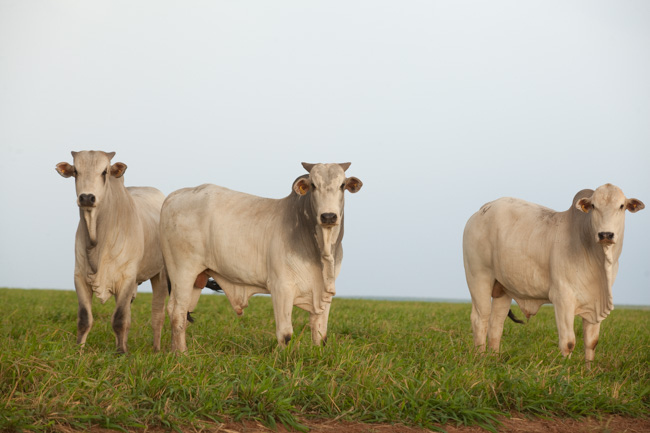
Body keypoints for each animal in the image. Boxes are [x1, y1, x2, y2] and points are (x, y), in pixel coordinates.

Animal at [55, 150, 167, 352]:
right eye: (76, 171)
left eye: (104, 172)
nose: (86, 197)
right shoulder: (79, 277)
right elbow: (84, 319)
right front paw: (79, 351)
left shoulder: (127, 278)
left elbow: (119, 319)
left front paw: (121, 352)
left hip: (160, 275)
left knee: (157, 314)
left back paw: (156, 349)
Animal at [159, 162, 362, 352]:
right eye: (313, 185)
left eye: (342, 185)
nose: (328, 216)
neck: (320, 252)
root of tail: (172, 197)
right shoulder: (281, 288)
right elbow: (285, 334)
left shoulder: (324, 294)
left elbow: (320, 334)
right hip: (182, 272)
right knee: (176, 312)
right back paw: (181, 354)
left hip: (196, 279)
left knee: (182, 312)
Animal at [464, 184, 640, 362]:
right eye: (593, 206)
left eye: (621, 206)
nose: (605, 234)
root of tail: (482, 210)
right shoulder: (562, 298)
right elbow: (568, 342)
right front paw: (566, 368)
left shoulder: (595, 303)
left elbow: (591, 343)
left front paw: (589, 369)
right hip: (478, 277)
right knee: (480, 318)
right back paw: (480, 358)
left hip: (503, 289)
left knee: (496, 324)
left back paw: (494, 358)